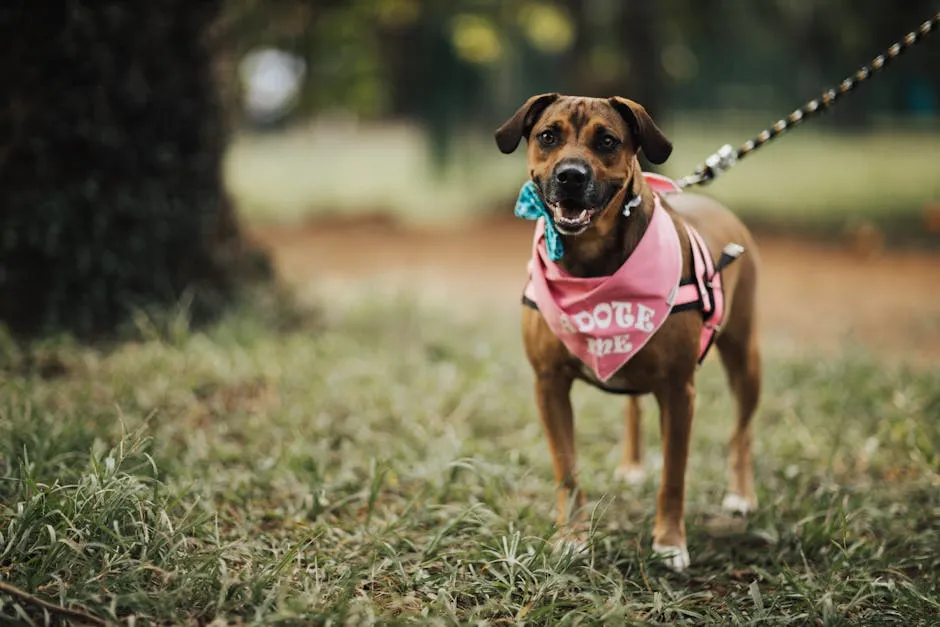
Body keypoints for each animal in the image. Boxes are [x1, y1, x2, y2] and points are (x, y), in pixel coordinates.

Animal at [496, 94, 760, 576]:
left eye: (607, 140)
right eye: (548, 136)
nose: (570, 175)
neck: (590, 263)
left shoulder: (678, 390)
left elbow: (674, 475)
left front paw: (670, 543)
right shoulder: (548, 383)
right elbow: (567, 469)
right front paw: (572, 538)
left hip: (745, 356)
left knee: (742, 432)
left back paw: (740, 494)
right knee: (633, 407)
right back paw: (633, 465)